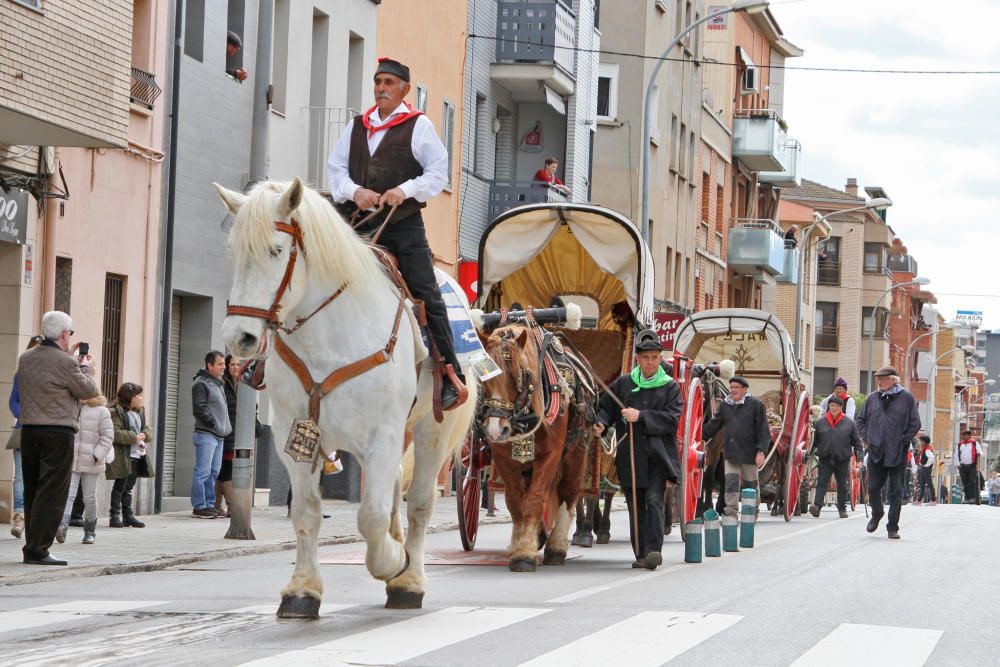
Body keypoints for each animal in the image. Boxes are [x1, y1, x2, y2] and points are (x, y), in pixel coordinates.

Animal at [214, 177, 476, 616]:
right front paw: (302, 591)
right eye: (234, 252)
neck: (328, 335)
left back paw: (410, 580)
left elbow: (370, 516)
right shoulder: (294, 436)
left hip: (431, 429)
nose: (240, 338)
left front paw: (393, 563)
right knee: (395, 490)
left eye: (276, 250)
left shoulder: (382, 434)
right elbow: (307, 512)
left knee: (420, 502)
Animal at [480, 324, 596, 576]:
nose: (496, 428)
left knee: (568, 494)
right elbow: (516, 501)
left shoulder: (551, 455)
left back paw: (557, 547)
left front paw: (524, 554)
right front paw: (520, 545)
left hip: (576, 452)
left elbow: (534, 500)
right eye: (483, 378)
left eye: (520, 375)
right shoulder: (503, 458)